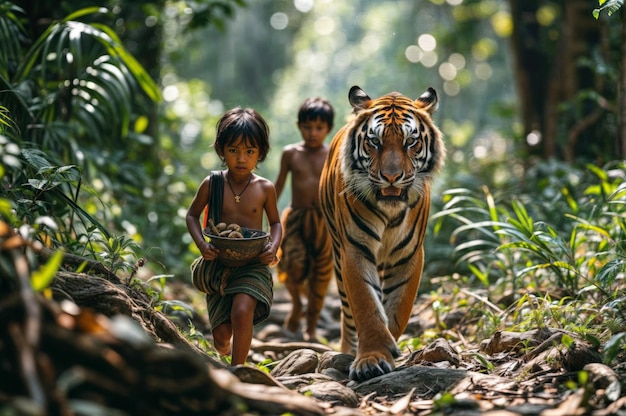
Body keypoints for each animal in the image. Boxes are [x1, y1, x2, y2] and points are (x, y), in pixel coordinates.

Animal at [316, 84, 444, 380]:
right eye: (374, 142)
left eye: (410, 142)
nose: (392, 177)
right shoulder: (355, 251)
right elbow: (366, 306)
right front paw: (371, 358)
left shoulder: (409, 255)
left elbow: (398, 308)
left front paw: (388, 350)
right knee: (348, 314)